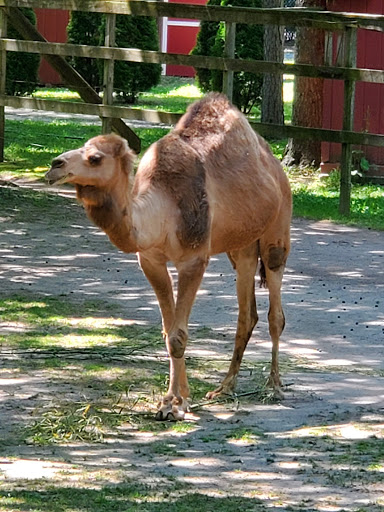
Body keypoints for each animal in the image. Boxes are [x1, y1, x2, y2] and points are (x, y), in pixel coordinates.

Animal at [45, 92, 292, 420]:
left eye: (95, 158)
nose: (55, 165)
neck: (162, 209)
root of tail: (275, 167)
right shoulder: (150, 260)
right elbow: (168, 331)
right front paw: (173, 400)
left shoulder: (194, 259)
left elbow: (178, 335)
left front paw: (177, 405)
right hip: (241, 245)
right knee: (245, 312)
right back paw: (224, 387)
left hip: (278, 228)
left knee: (275, 311)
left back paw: (274, 387)